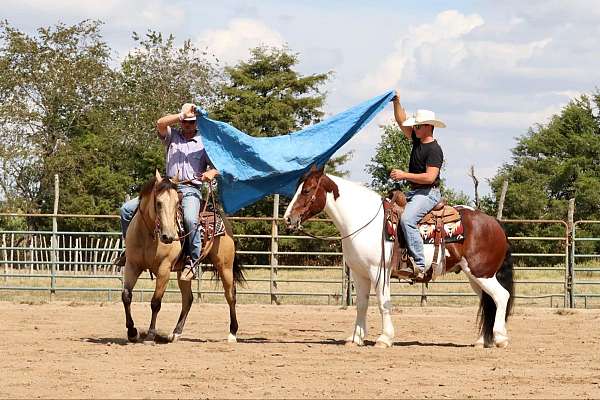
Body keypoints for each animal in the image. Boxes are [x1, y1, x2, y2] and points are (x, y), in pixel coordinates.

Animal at [122, 170, 244, 342]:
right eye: (158, 203)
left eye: (176, 204)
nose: (168, 236)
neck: (149, 236)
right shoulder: (132, 265)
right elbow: (126, 296)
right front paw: (132, 332)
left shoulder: (164, 269)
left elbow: (155, 302)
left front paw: (151, 335)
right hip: (182, 272)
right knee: (188, 298)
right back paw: (176, 332)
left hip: (225, 266)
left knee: (230, 295)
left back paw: (232, 333)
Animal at [284, 167, 512, 348]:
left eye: (306, 190)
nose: (287, 219)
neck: (363, 221)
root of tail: (494, 223)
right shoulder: (359, 273)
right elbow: (361, 305)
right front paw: (355, 338)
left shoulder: (379, 271)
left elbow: (383, 303)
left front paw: (384, 339)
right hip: (474, 276)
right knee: (488, 301)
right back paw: (481, 341)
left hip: (482, 273)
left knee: (501, 297)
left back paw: (500, 339)